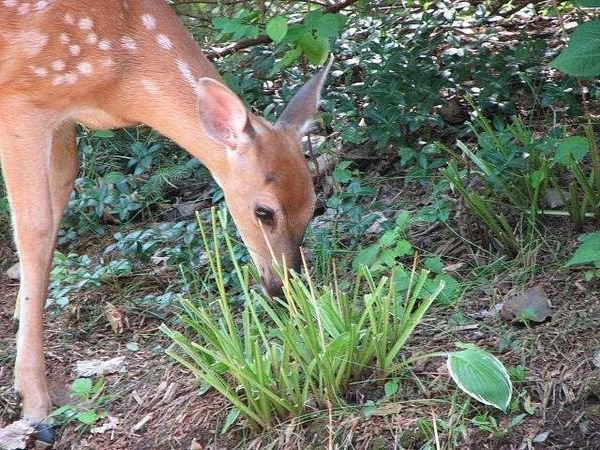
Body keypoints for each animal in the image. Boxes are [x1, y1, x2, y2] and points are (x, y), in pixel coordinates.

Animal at [0, 0, 330, 442]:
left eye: (314, 207)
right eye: (264, 212)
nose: (283, 285)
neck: (122, 76)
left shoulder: (62, 120)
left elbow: (58, 202)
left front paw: (22, 316)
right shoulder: (23, 99)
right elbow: (34, 227)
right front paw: (35, 405)